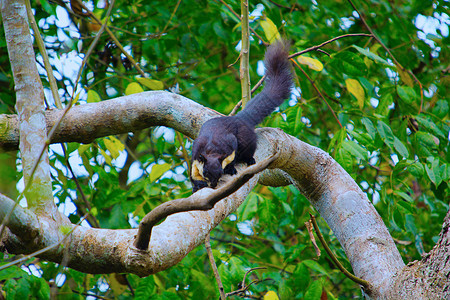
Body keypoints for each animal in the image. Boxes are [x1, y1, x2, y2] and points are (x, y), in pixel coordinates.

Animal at [189, 40, 292, 192]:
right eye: (206, 172)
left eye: (219, 173)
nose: (213, 185)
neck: (211, 149)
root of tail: (239, 118)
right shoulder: (196, 155)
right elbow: (193, 174)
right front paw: (197, 185)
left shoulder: (230, 145)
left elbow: (232, 158)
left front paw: (230, 168)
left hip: (247, 139)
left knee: (248, 151)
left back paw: (249, 160)